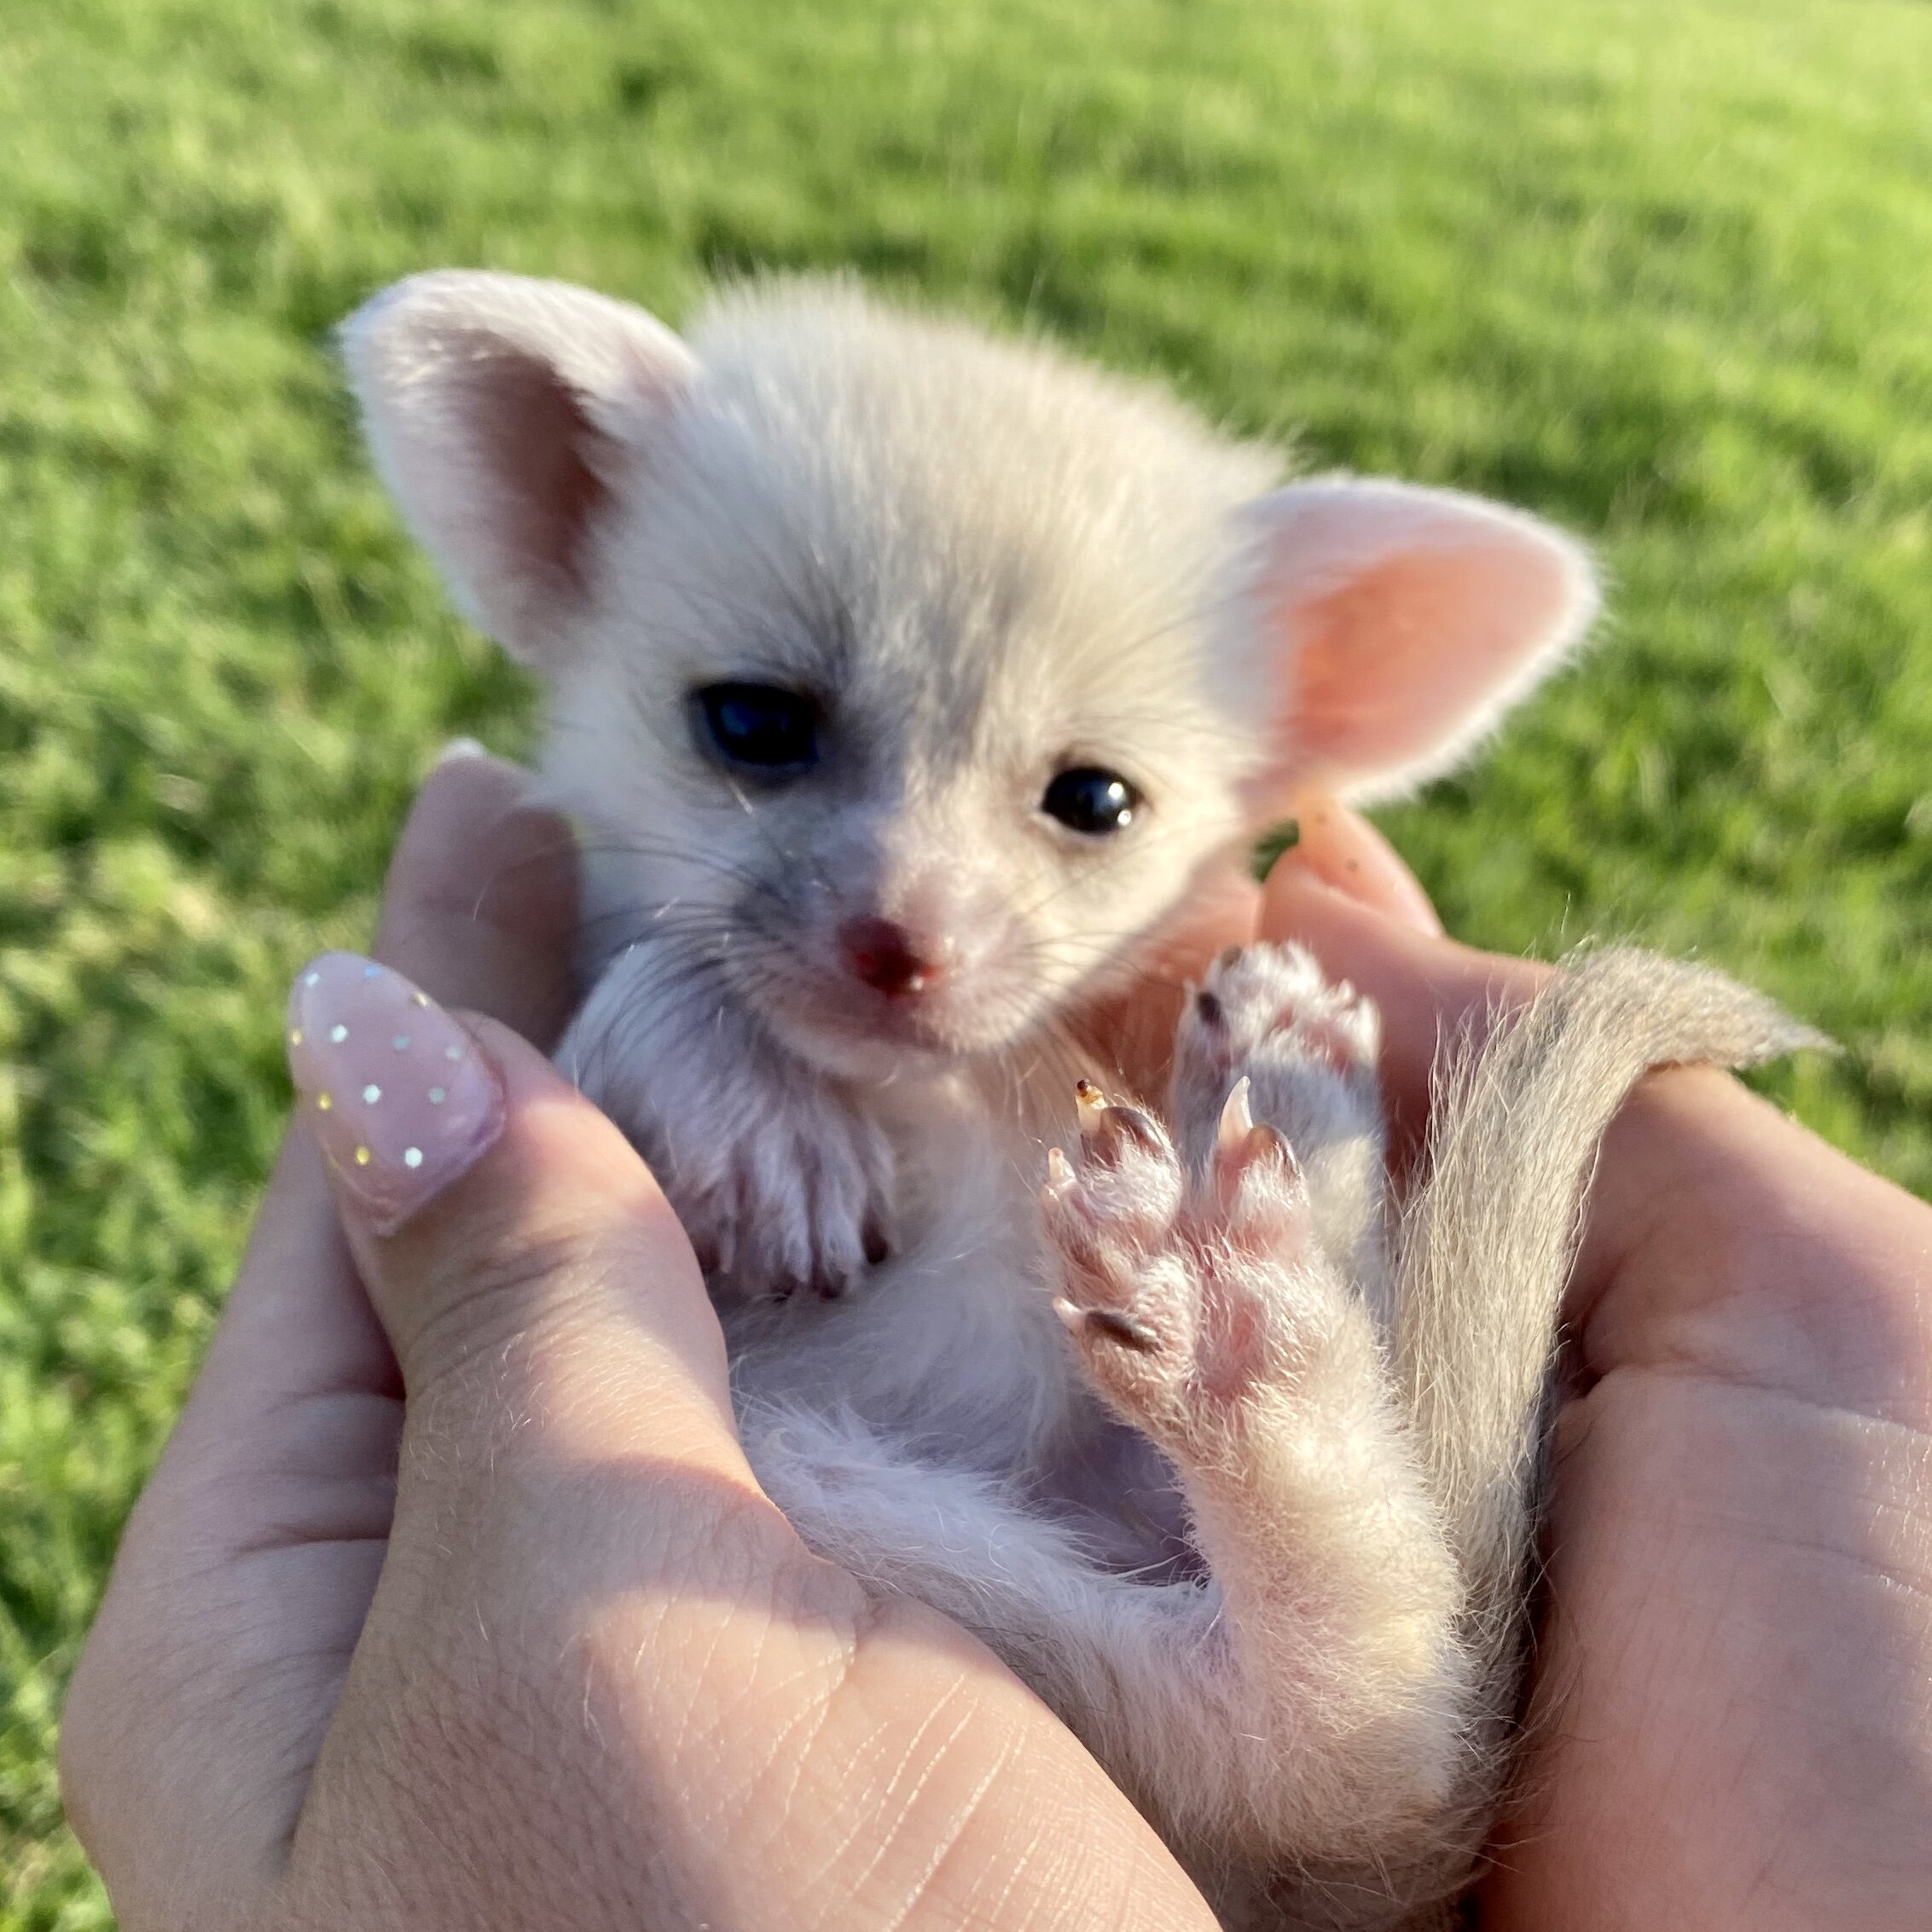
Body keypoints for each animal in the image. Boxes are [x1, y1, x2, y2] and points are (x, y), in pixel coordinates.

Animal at [347, 276, 1808, 1932]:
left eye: (1095, 801)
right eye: (751, 725)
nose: (900, 944)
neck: (929, 1091)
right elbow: (649, 972)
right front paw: (768, 1125)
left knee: (1367, 1732)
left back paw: (1248, 1268)